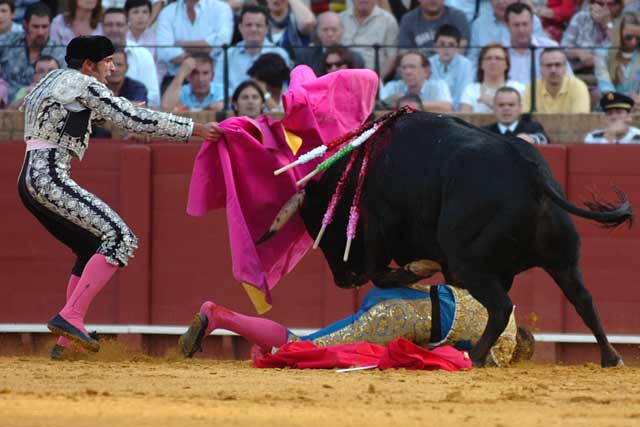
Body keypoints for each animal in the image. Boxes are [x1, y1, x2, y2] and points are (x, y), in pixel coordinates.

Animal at [262, 113, 632, 368]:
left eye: (321, 228)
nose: (343, 280)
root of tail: (530, 172)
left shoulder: (382, 220)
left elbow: (379, 272)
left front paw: (419, 269)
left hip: (469, 261)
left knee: (501, 307)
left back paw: (476, 356)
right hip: (562, 261)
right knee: (583, 300)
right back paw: (610, 357)